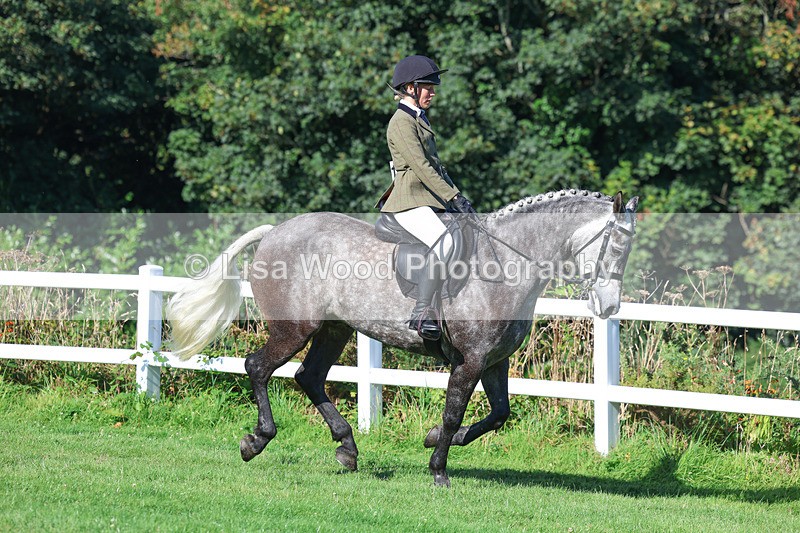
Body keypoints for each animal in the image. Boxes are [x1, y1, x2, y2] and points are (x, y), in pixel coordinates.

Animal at [167, 189, 639, 487]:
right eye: (615, 249)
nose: (609, 307)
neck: (505, 264)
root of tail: (274, 232)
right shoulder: (470, 359)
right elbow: (454, 413)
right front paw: (439, 470)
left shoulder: (494, 360)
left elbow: (499, 414)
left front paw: (433, 440)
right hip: (293, 329)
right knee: (259, 367)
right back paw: (257, 441)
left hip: (334, 329)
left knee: (309, 377)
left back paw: (347, 449)